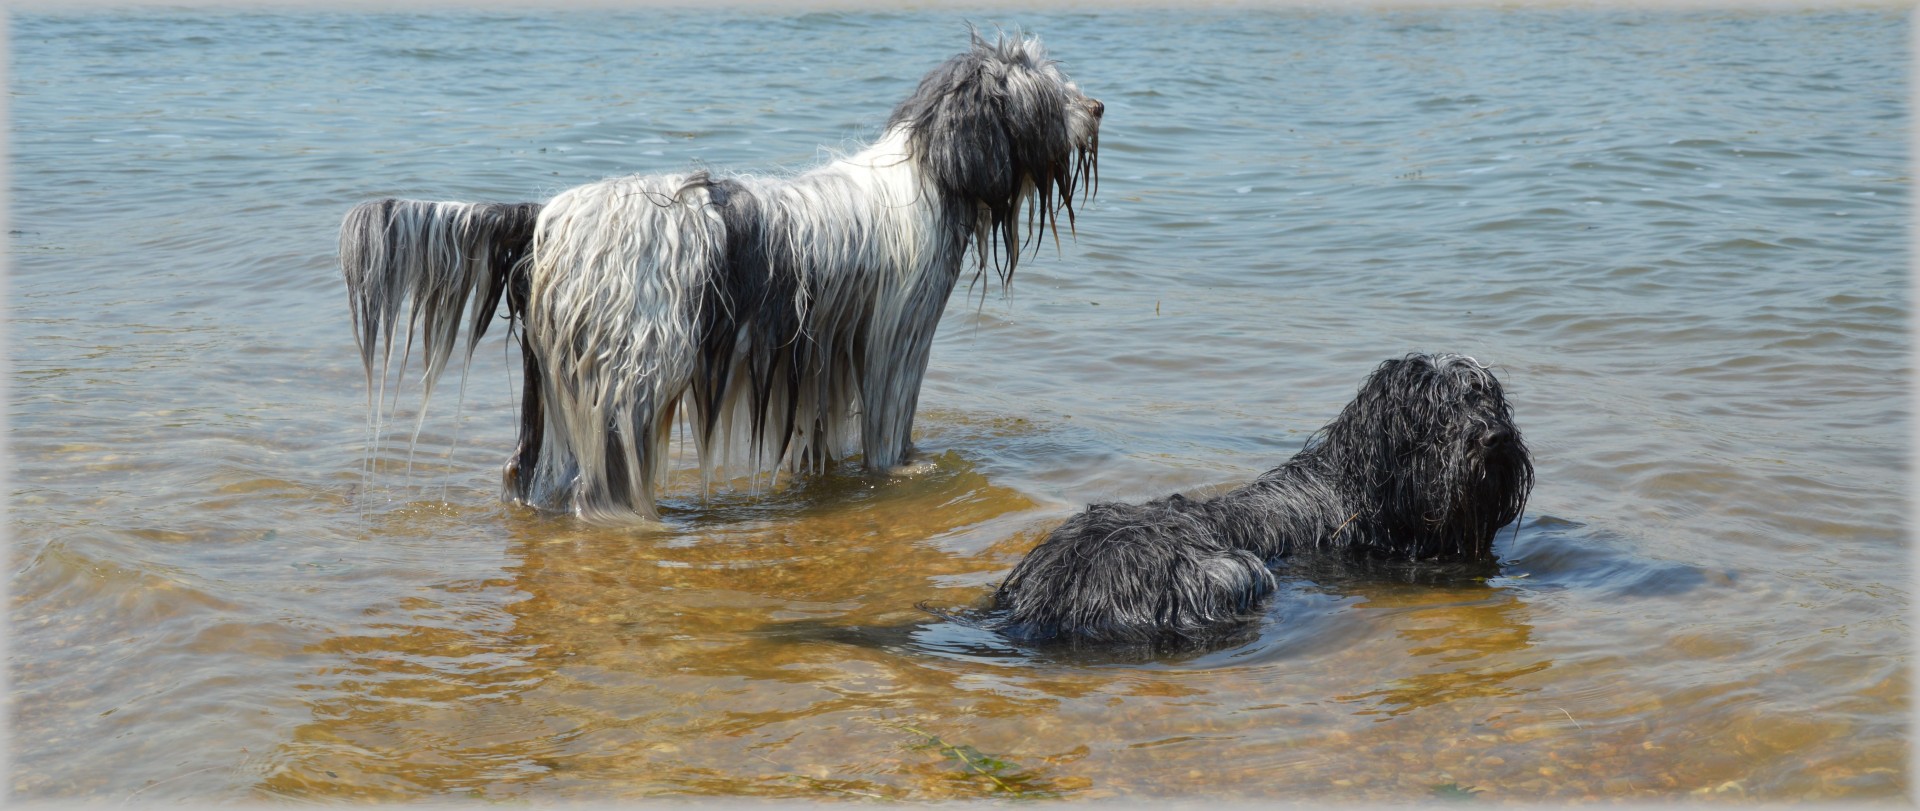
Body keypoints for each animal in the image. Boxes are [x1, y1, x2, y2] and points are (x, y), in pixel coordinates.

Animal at [337, 31, 1105, 522]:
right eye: (1043, 92)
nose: (1097, 107)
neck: (929, 168)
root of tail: (546, 216)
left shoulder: (824, 356)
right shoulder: (897, 343)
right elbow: (891, 432)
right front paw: (907, 472)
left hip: (552, 381)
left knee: (524, 472)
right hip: (633, 374)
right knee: (602, 484)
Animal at [990, 355, 1528, 645]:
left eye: (1486, 398)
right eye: (1437, 412)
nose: (1497, 437)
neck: (1356, 487)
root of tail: (1050, 596)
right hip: (1232, 569)